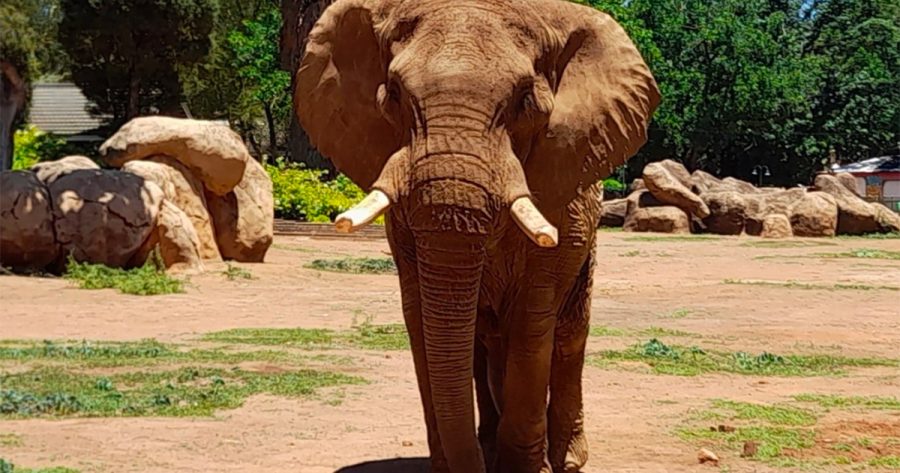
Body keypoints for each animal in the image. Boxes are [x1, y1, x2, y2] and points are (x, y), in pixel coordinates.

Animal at [294, 1, 659, 472]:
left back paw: (567, 460)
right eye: (394, 93)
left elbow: (532, 319)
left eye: (525, 100)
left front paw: (525, 468)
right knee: (484, 344)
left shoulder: (560, 191)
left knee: (567, 335)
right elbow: (421, 318)